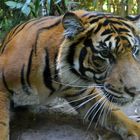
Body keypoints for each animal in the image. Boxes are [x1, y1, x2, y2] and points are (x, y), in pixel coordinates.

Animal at [0, 10, 140, 140]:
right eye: (105, 53)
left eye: (134, 50)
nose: (136, 92)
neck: (57, 78)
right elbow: (2, 125)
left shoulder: (83, 93)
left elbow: (117, 114)